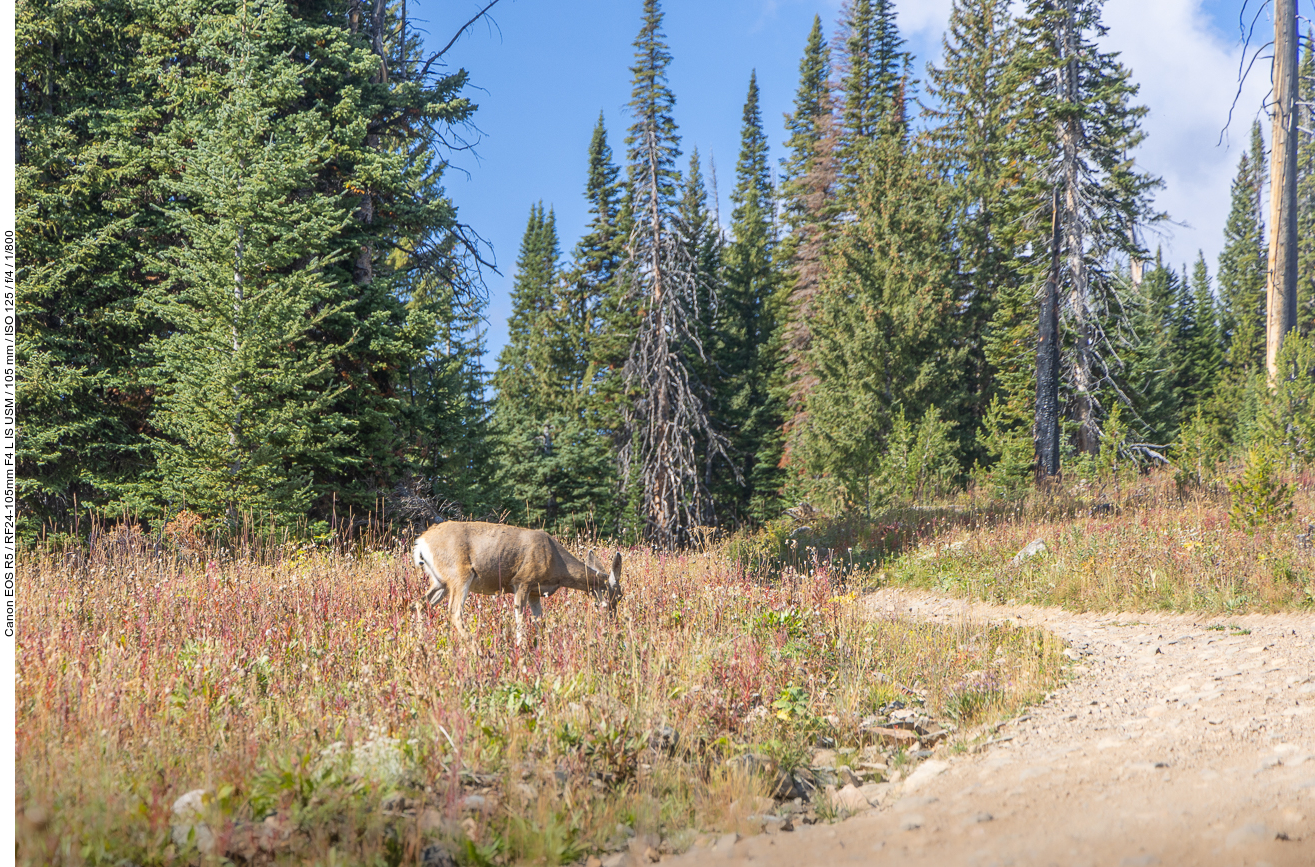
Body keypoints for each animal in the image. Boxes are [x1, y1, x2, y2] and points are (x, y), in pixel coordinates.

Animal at [412, 523, 623, 644]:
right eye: (619, 595)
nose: (614, 621)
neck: (556, 564)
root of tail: (421, 542)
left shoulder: (536, 592)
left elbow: (539, 621)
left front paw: (541, 648)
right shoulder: (522, 581)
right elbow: (520, 618)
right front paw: (521, 651)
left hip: (440, 581)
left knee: (420, 603)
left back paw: (422, 643)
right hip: (459, 574)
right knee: (454, 611)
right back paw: (476, 648)